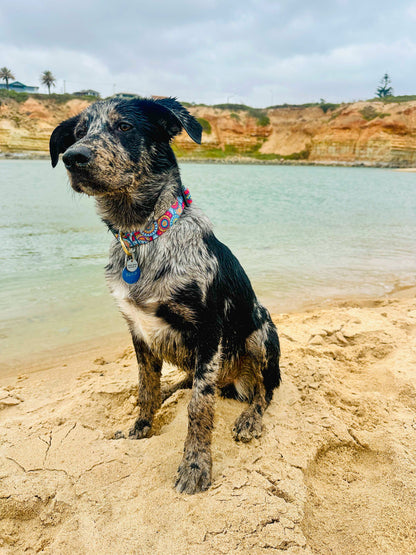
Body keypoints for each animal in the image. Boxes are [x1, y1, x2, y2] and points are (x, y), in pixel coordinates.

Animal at [50, 96, 282, 496]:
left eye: (125, 126)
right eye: (78, 133)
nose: (73, 157)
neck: (143, 237)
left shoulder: (209, 331)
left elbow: (200, 406)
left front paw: (195, 466)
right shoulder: (138, 332)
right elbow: (146, 389)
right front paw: (141, 429)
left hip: (260, 332)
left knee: (262, 390)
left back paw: (250, 417)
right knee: (181, 384)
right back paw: (171, 390)